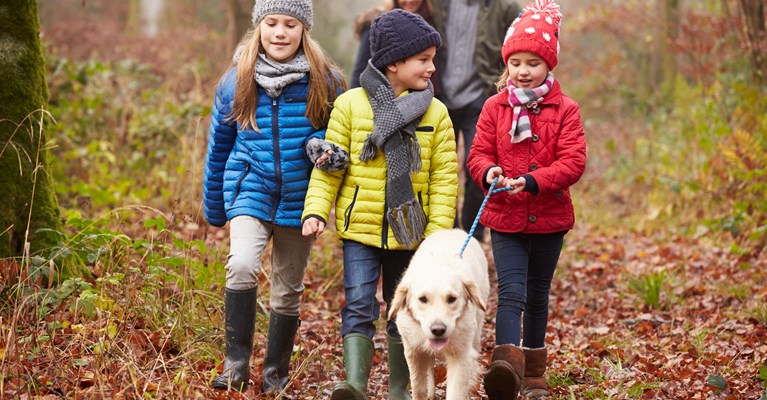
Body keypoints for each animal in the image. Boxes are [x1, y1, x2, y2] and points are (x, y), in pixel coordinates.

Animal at [390, 228, 492, 400]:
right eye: (423, 299)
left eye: (451, 299)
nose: (438, 330)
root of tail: (453, 230)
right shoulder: (413, 351)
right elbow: (418, 389)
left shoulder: (461, 356)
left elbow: (455, 392)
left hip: (476, 335)